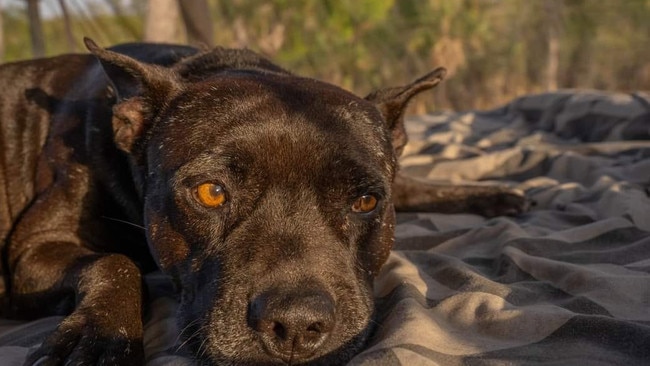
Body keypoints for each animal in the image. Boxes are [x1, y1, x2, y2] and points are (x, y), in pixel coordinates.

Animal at [0, 38, 528, 364]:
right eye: (211, 193)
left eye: (365, 202)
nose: (295, 325)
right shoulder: (34, 248)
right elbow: (115, 262)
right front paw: (102, 335)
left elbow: (415, 182)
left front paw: (496, 192)